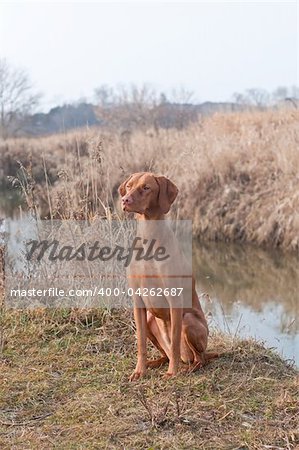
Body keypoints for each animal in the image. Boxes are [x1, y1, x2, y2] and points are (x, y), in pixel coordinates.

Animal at [118, 172, 219, 380]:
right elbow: (140, 343)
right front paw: (139, 371)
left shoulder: (175, 300)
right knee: (166, 354)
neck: (148, 238)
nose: (125, 200)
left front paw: (172, 373)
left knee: (198, 358)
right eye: (129, 186)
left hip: (188, 320)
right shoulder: (137, 301)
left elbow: (174, 342)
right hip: (150, 319)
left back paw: (186, 368)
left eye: (146, 187)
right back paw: (154, 363)